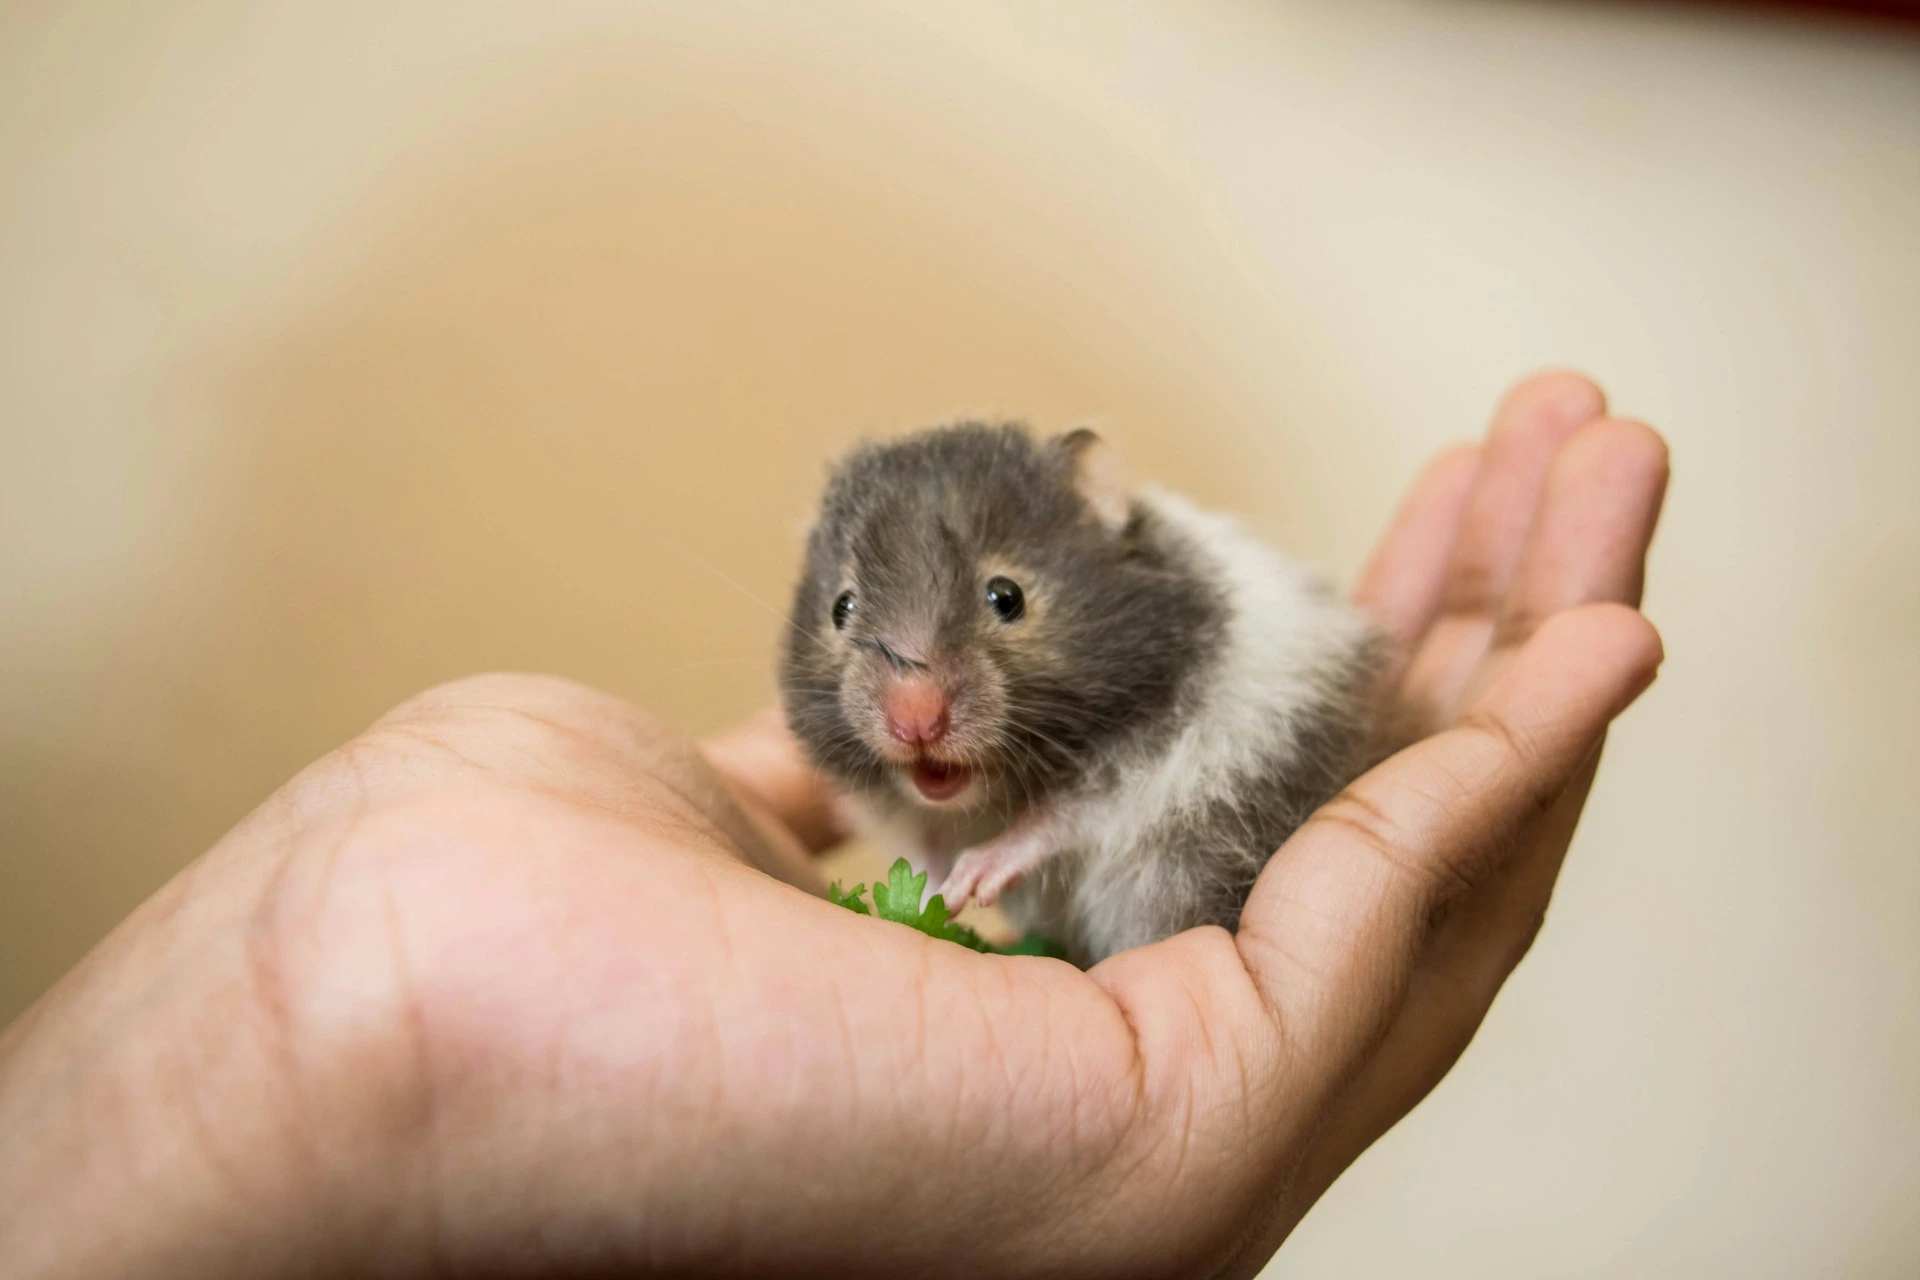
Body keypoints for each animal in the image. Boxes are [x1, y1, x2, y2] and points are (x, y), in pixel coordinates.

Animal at [781, 421, 1388, 966]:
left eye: (1007, 597)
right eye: (841, 608)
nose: (913, 722)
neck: (991, 797)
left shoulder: (1145, 763)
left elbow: (1056, 819)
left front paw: (973, 878)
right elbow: (922, 846)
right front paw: (936, 894)